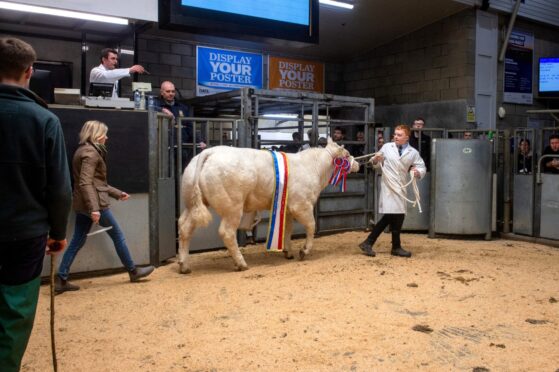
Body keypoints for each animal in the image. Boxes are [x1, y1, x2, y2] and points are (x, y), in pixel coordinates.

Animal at [178, 138, 358, 272]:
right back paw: (241, 263)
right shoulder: (301, 205)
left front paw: (288, 252)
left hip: (191, 204)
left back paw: (184, 265)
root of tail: (210, 152)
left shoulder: (287, 209)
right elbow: (311, 226)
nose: (358, 164)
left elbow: (287, 229)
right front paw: (304, 250)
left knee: (184, 227)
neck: (314, 168)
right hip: (232, 206)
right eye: (347, 154)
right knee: (226, 232)